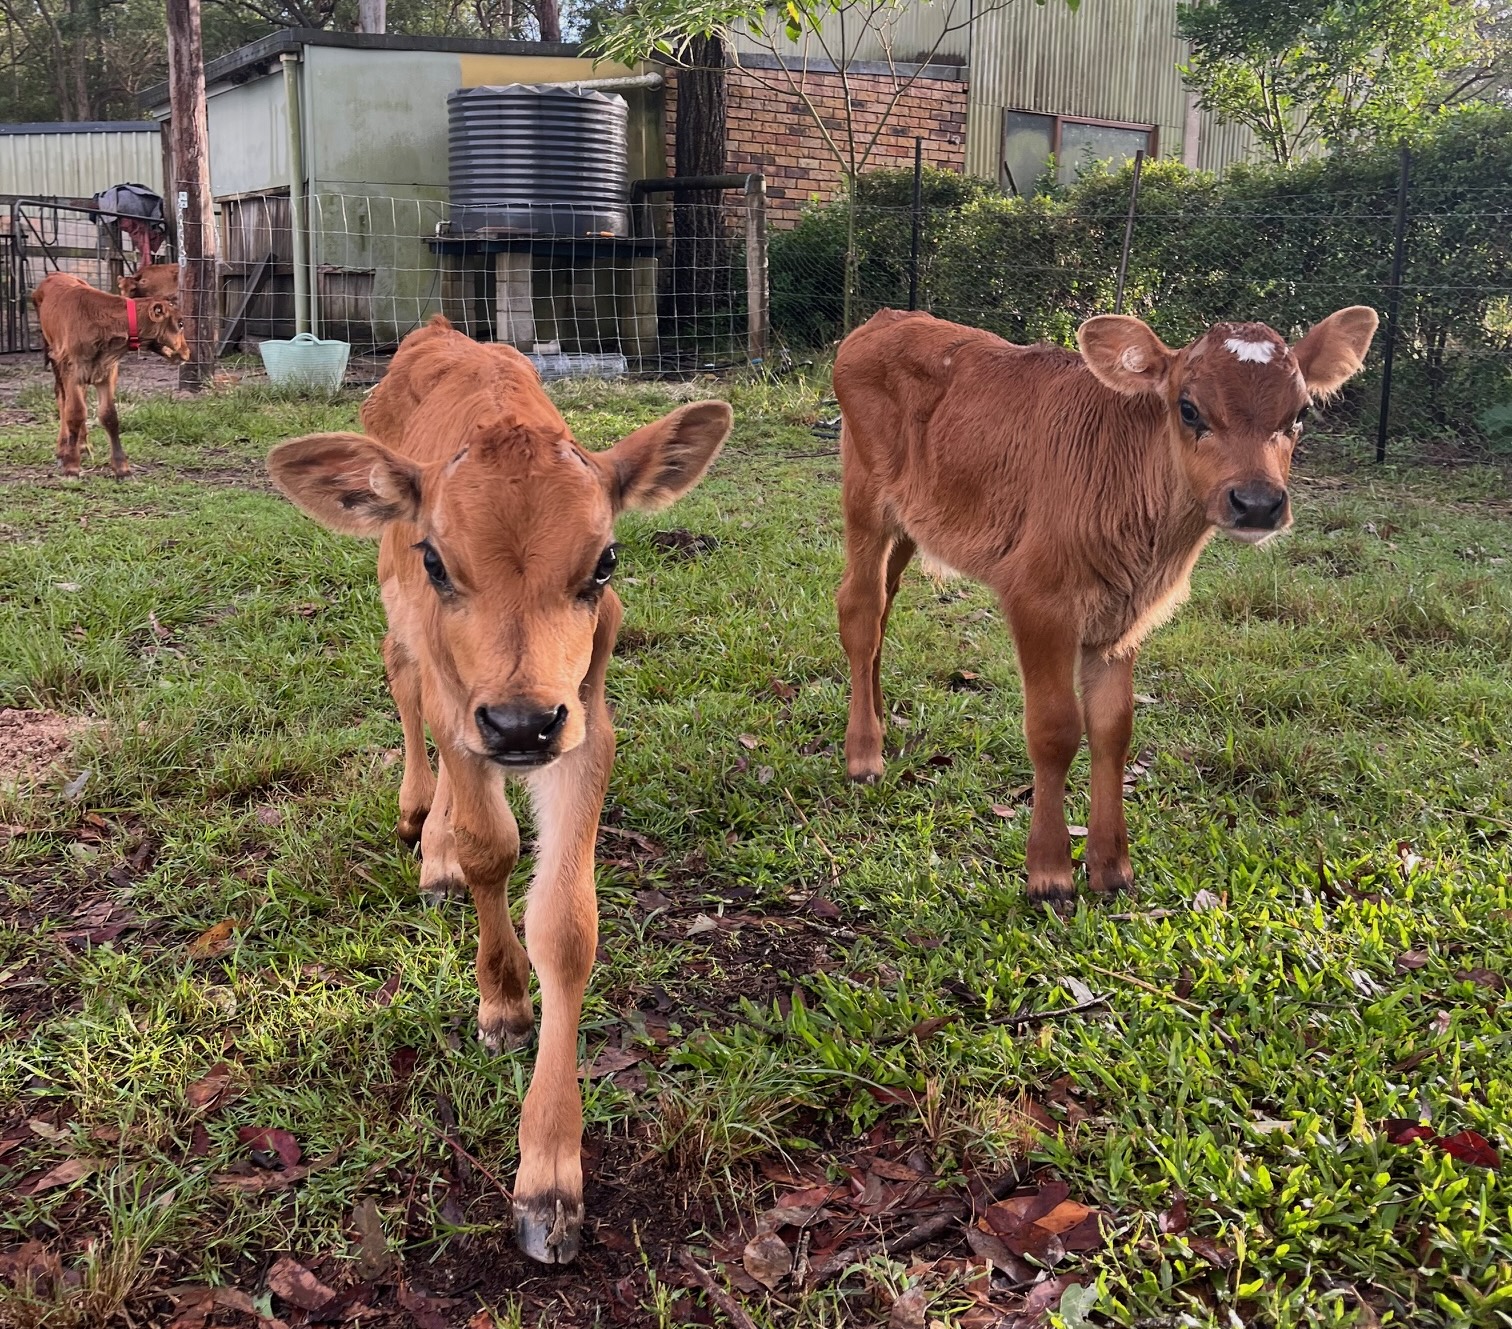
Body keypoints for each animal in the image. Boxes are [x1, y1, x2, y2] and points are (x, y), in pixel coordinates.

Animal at [31, 273, 189, 480]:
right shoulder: (71, 369)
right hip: (54, 357)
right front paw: (71, 466)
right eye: (180, 323)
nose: (187, 353)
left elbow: (109, 416)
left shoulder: (107, 371)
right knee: (62, 398)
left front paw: (122, 468)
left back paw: (83, 445)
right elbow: (74, 413)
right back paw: (63, 449)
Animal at [266, 315, 731, 1264]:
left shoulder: (584, 720)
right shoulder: (461, 699)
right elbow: (490, 847)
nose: (520, 727)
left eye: (606, 560)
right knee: (404, 684)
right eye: (439, 560)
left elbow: (567, 923)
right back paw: (424, 821)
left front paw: (550, 1173)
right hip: (399, 622)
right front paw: (504, 999)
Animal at [833, 306, 1378, 904]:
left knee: (885, 606)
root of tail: (885, 318)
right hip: (865, 499)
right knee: (860, 609)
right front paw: (1049, 872)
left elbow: (1113, 729)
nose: (1257, 503)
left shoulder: (1122, 619)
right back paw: (863, 753)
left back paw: (879, 720)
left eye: (1300, 412)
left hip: (911, 521)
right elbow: (1055, 728)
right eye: (1188, 408)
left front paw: (1112, 867)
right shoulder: (1039, 600)